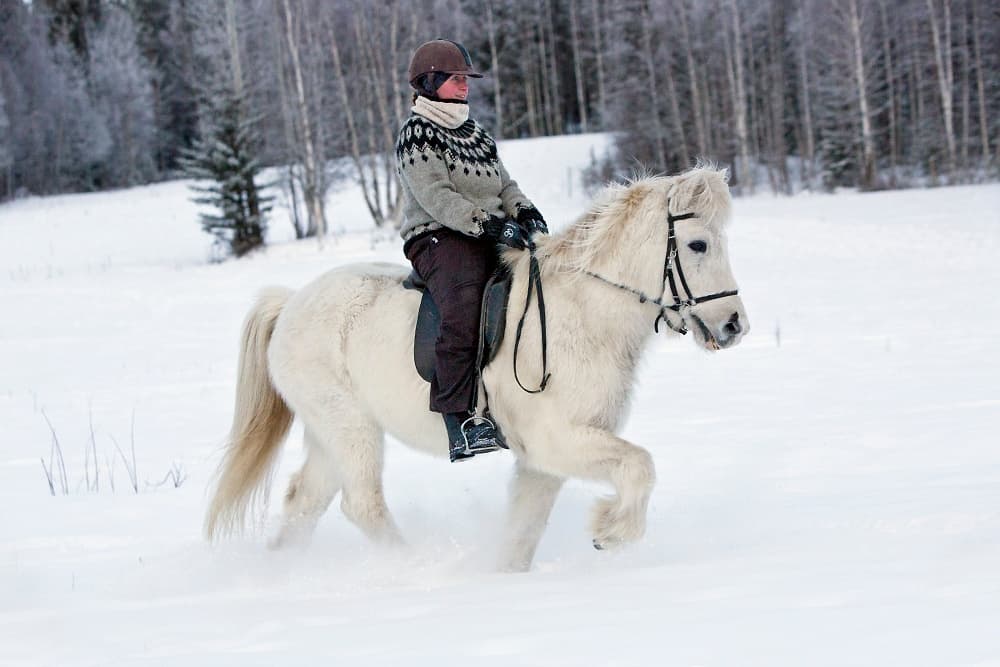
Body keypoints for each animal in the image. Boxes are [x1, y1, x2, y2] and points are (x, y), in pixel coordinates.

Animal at [204, 165, 748, 572]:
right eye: (699, 245)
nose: (735, 325)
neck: (582, 311)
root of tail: (292, 302)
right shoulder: (556, 441)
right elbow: (640, 465)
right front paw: (611, 531)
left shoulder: (543, 459)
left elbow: (524, 531)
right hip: (350, 428)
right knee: (361, 504)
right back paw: (414, 566)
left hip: (329, 435)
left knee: (304, 502)